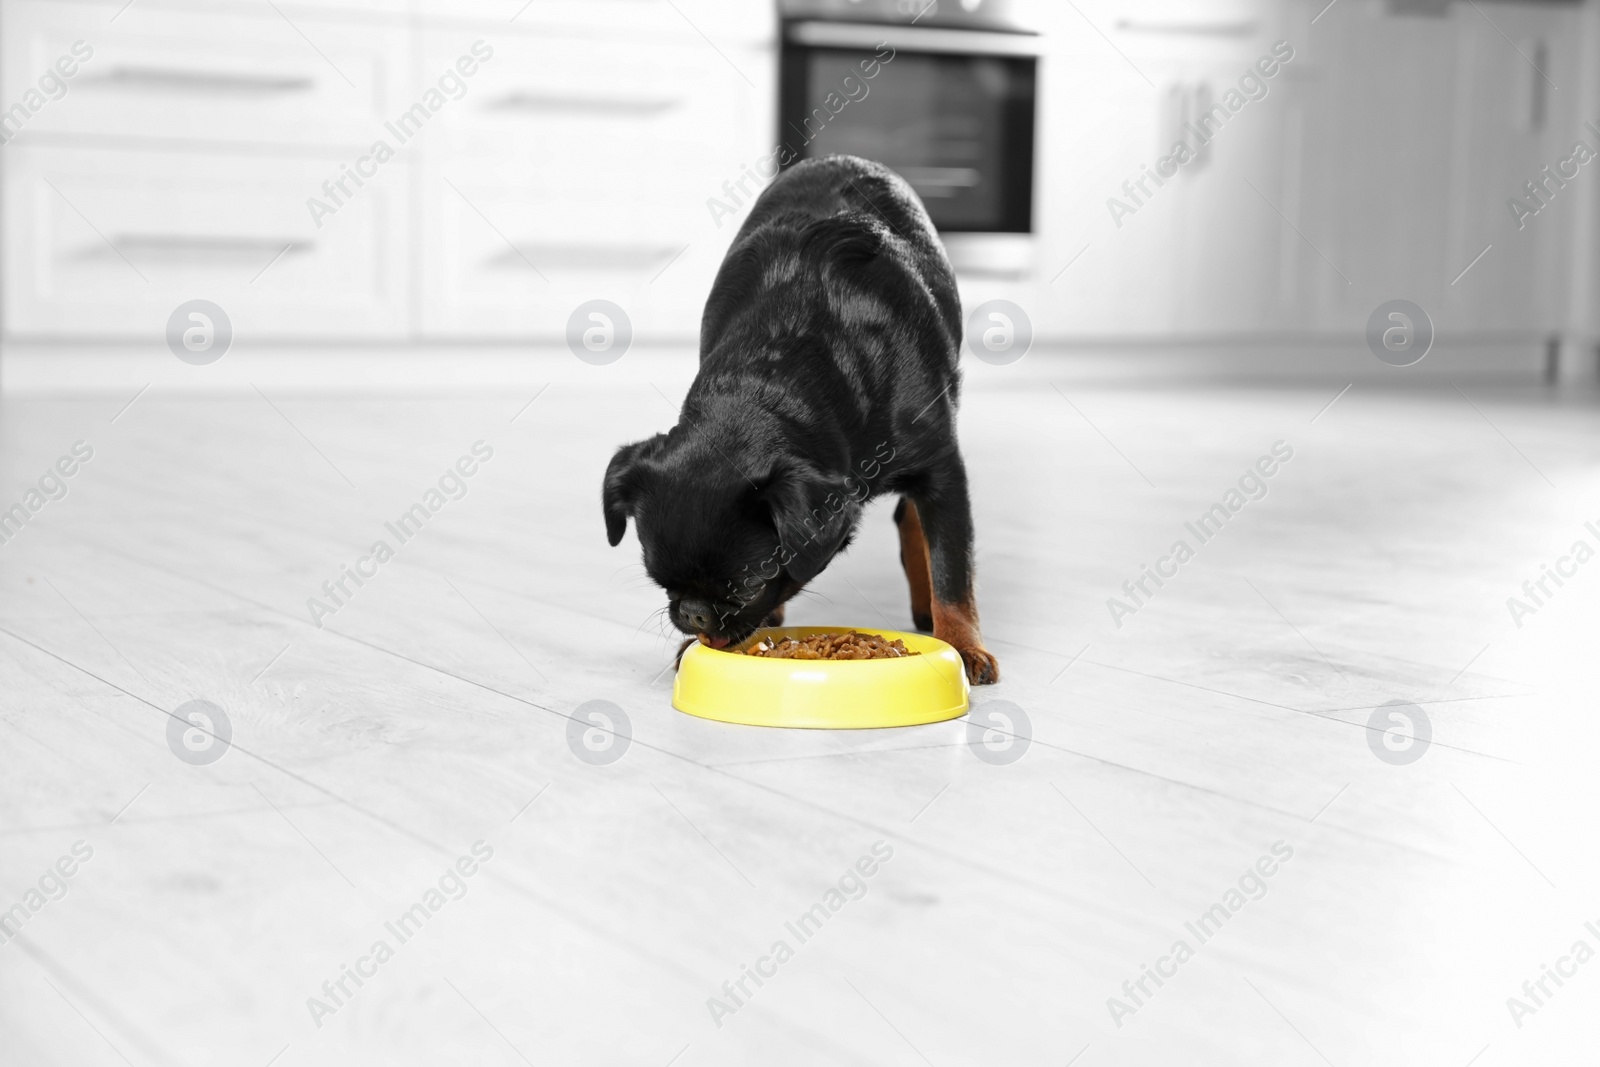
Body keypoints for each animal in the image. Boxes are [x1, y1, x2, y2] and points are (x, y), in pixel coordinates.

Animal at [601, 151, 992, 684]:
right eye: (661, 583)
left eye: (748, 587)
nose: (693, 616)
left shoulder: (943, 469)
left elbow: (952, 568)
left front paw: (961, 645)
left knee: (916, 522)